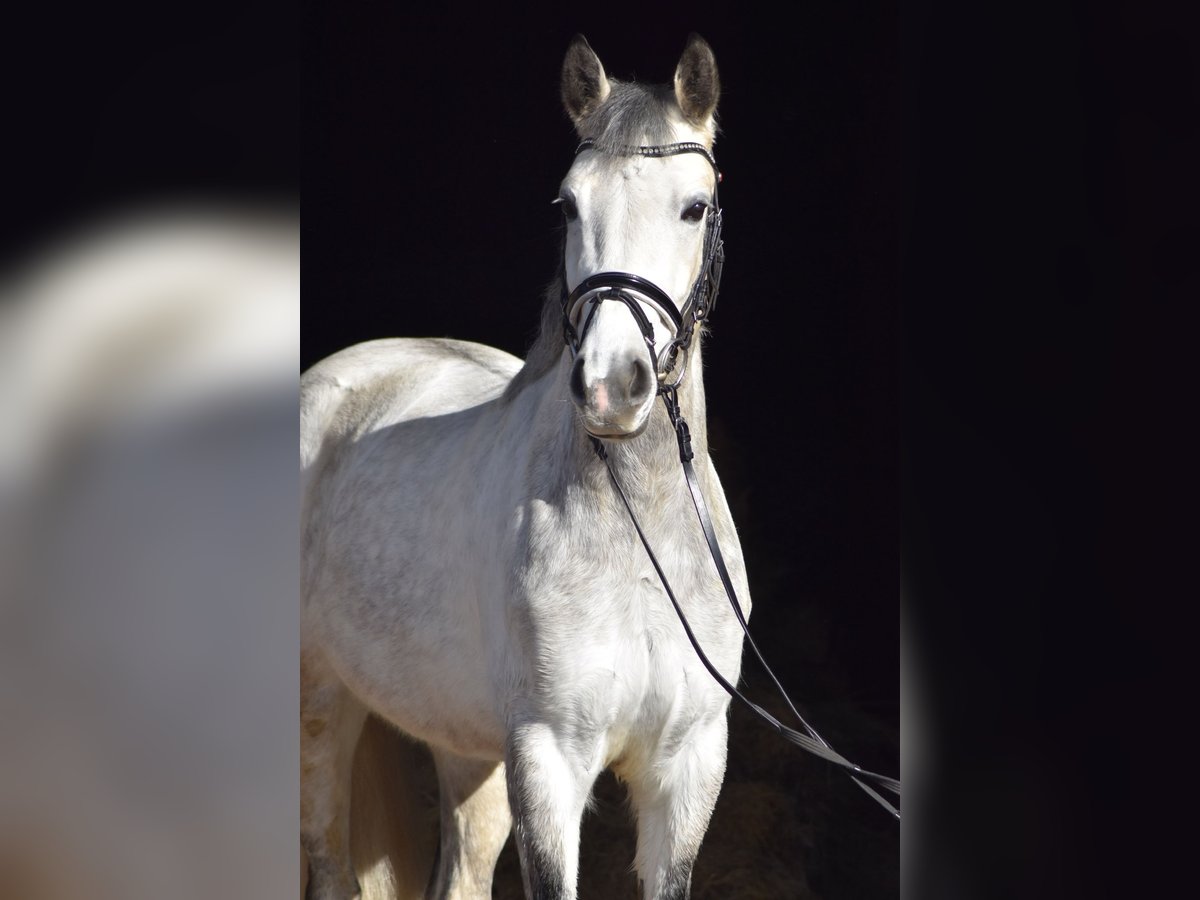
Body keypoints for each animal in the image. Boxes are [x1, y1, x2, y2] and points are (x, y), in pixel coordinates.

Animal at [301, 34, 748, 900]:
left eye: (694, 207)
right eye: (569, 204)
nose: (611, 385)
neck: (639, 540)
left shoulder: (688, 766)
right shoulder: (548, 759)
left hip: (466, 748)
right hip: (320, 709)